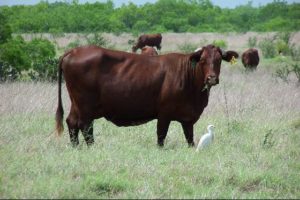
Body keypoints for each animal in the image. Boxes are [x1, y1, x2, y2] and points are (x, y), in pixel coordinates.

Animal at [55, 45, 239, 147]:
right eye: (202, 60)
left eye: (219, 60)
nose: (212, 78)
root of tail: (73, 51)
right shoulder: (164, 114)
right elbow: (161, 137)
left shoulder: (187, 119)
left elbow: (190, 139)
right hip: (86, 107)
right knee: (85, 127)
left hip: (76, 104)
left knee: (72, 123)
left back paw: (76, 148)